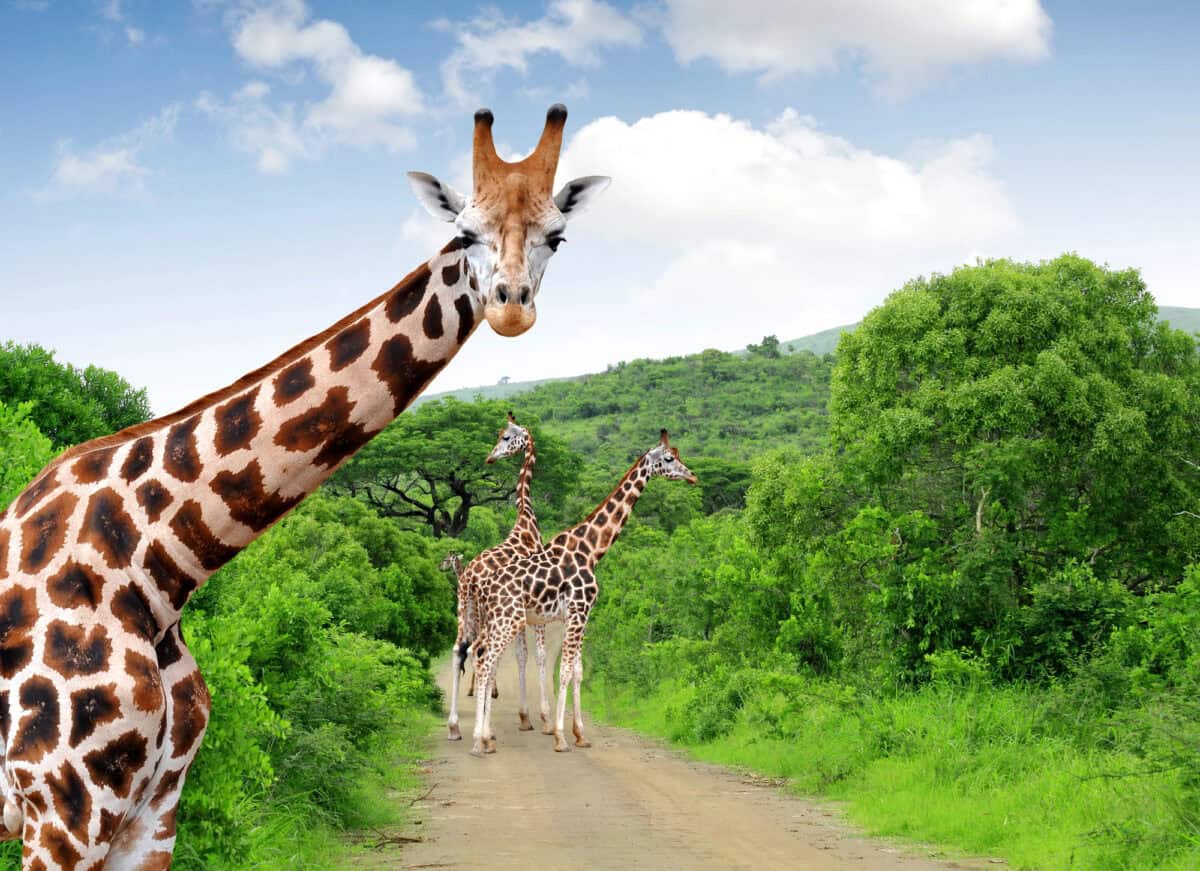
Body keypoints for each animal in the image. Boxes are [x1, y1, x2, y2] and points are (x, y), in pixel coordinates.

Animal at [445, 413, 549, 740]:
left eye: (506, 437)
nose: (490, 458)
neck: (527, 523)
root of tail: (468, 579)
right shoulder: (536, 611)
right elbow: (535, 654)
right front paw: (542, 718)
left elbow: (520, 655)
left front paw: (525, 717)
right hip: (486, 615)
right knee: (480, 652)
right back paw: (483, 728)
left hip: (464, 610)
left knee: (460, 650)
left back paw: (455, 726)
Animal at [469, 430, 697, 757]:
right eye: (668, 458)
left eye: (678, 455)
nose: (692, 476)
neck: (592, 550)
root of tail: (482, 585)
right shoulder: (578, 610)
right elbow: (564, 671)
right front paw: (560, 737)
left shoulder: (580, 614)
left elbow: (577, 671)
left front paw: (580, 735)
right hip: (507, 621)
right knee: (486, 663)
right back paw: (480, 741)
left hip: (496, 621)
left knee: (479, 658)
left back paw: (484, 737)